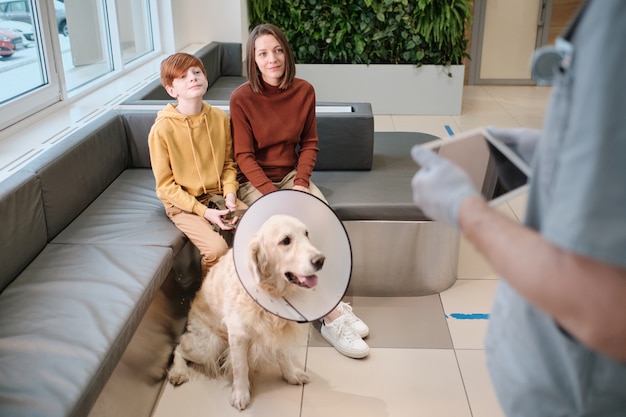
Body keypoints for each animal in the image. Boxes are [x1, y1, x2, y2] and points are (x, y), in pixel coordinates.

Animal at [167, 214, 322, 410]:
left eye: (306, 233)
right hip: (209, 345)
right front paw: (240, 394)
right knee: (179, 347)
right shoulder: (238, 334)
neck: (271, 290)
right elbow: (241, 367)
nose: (321, 260)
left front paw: (291, 374)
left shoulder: (277, 329)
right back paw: (178, 371)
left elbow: (283, 355)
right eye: (286, 240)